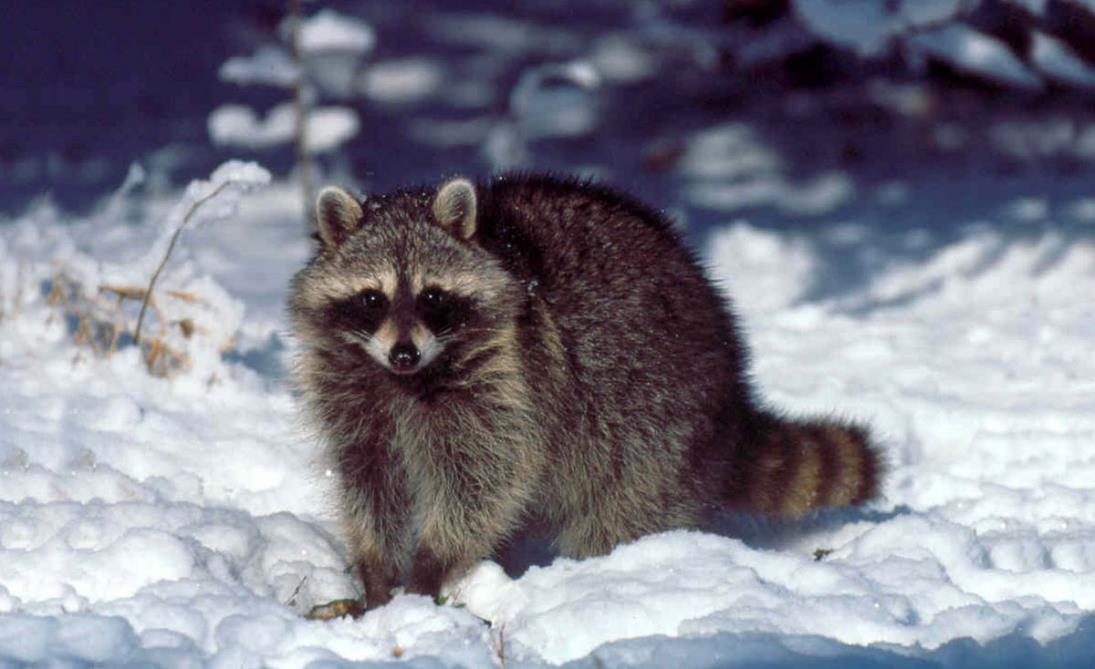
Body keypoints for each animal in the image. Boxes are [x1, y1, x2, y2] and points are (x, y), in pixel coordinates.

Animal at [288, 174, 881, 610]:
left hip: (657, 430)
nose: (405, 353)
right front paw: (375, 571)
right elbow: (368, 478)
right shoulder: (352, 393)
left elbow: (486, 478)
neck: (406, 381)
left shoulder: (511, 379)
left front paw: (431, 564)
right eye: (372, 298)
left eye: (433, 297)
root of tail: (731, 395)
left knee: (618, 514)